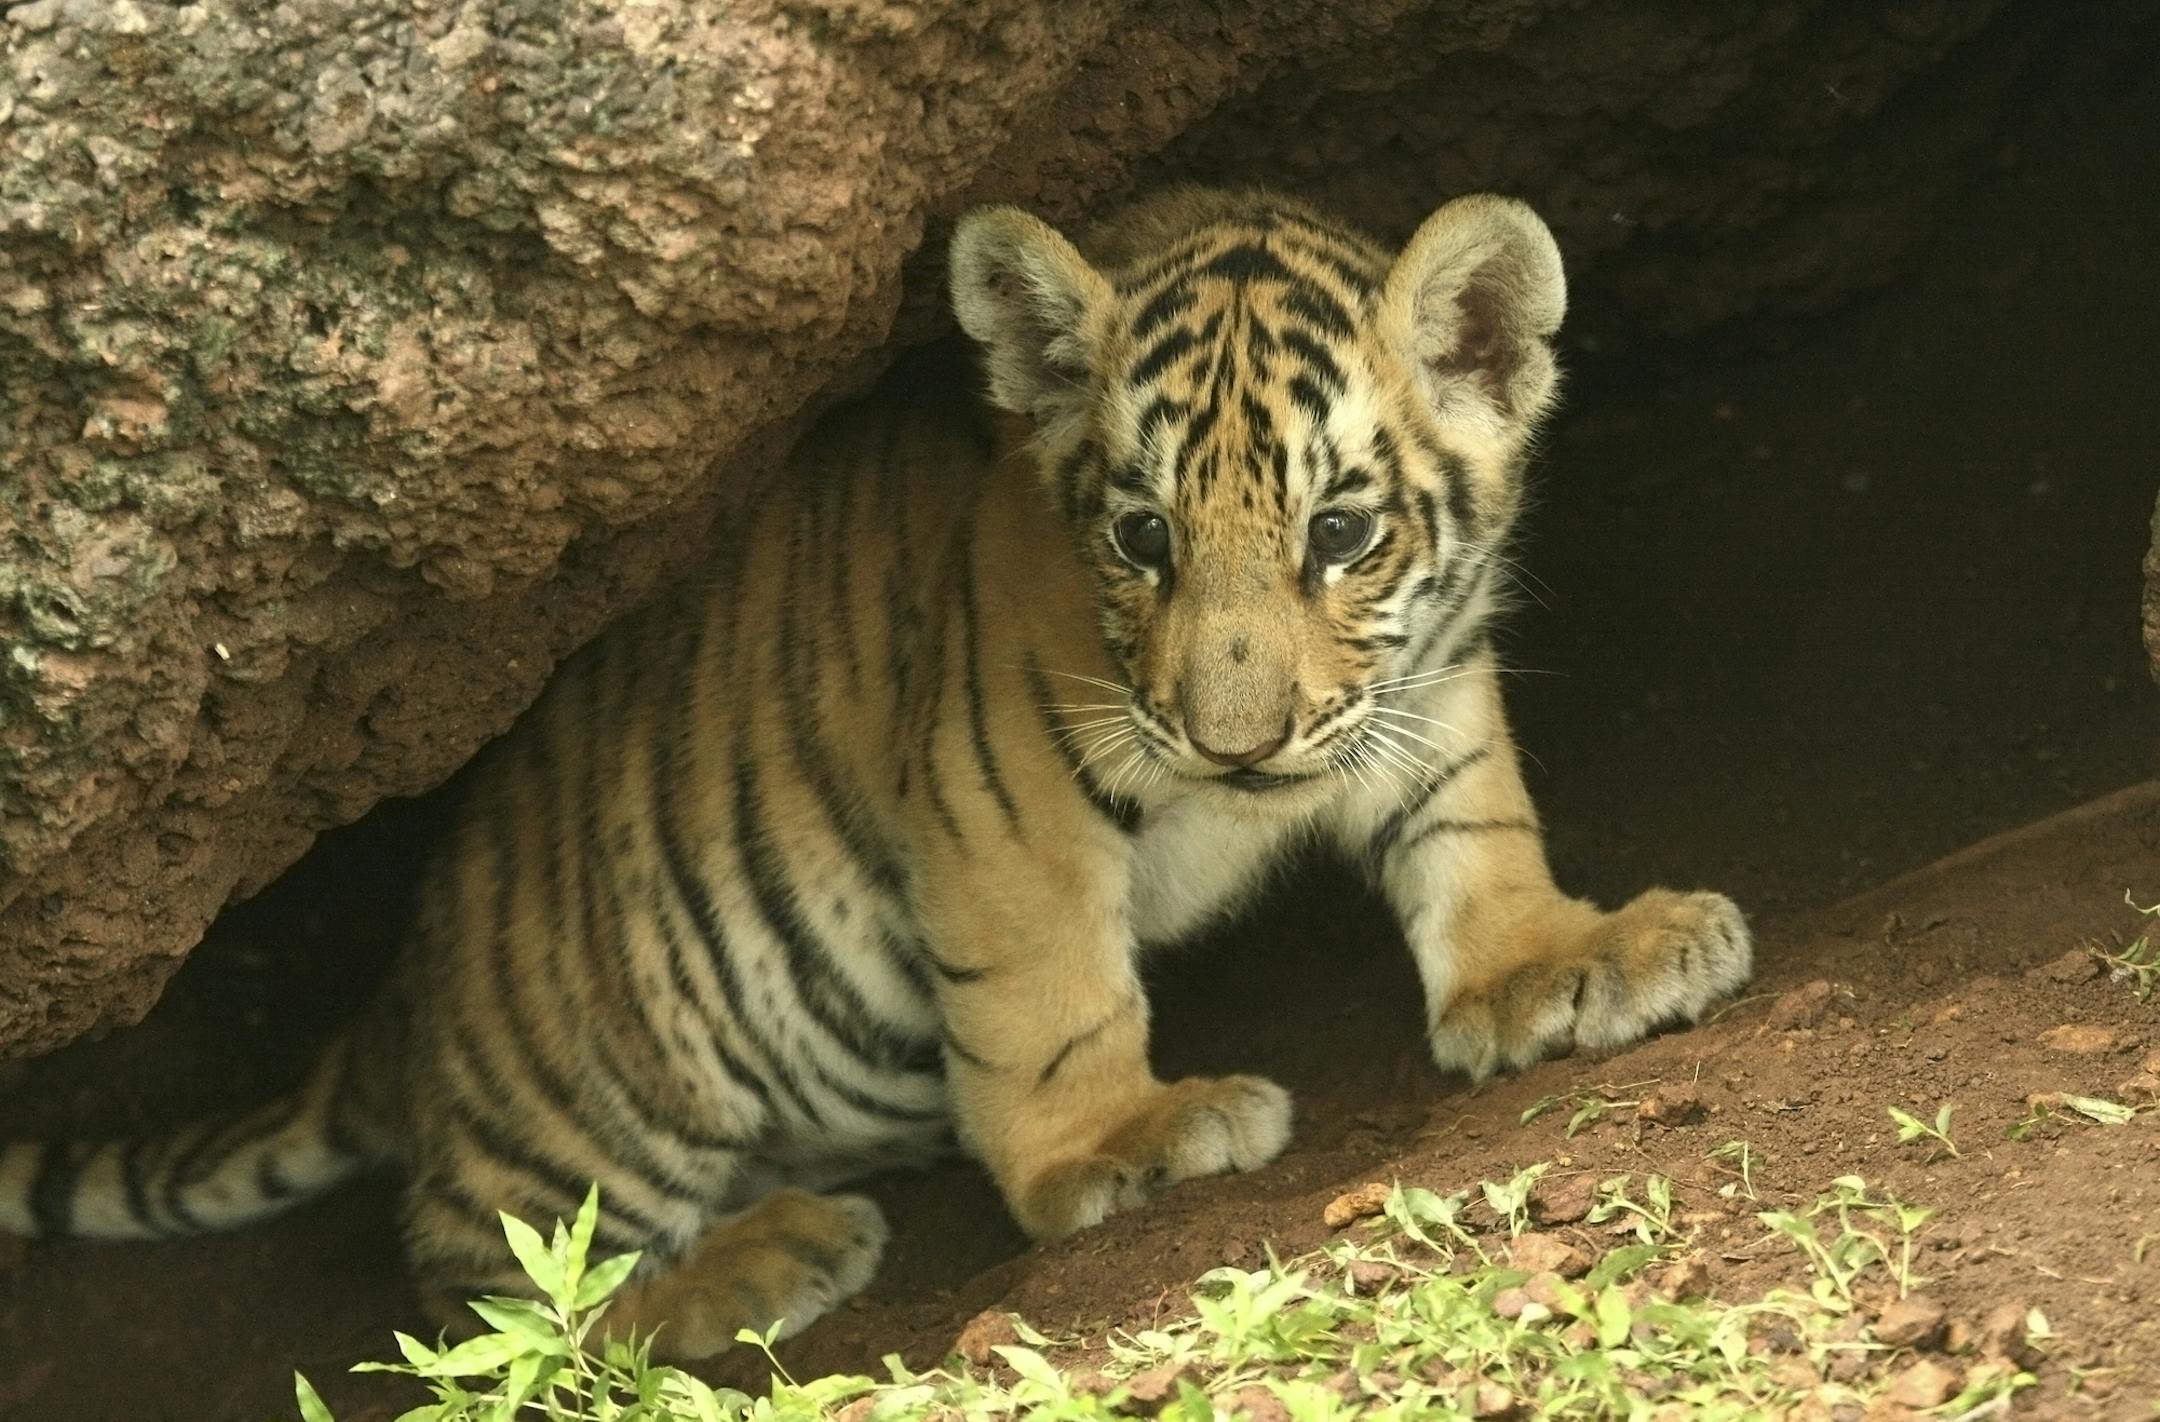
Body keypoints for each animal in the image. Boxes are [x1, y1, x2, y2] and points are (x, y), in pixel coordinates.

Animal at [0, 186, 1752, 1360]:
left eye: (1340, 531)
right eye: (1143, 537)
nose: (1235, 741)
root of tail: (401, 1007)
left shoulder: (1431, 684)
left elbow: (1476, 832)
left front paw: (1571, 961)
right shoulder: (1003, 795)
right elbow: (1052, 1003)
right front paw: (1118, 1142)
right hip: (604, 1087)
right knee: (494, 1284)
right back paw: (758, 1262)